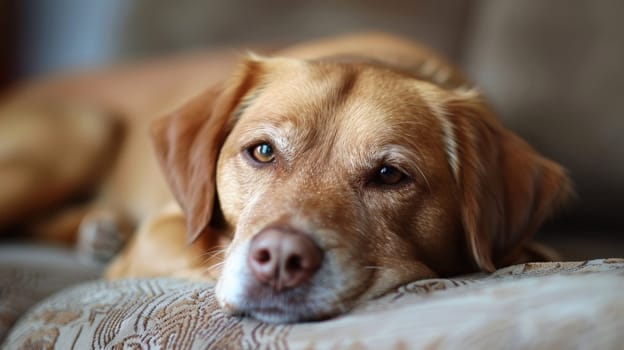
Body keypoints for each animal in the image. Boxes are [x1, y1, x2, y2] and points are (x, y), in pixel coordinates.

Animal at [0, 32, 572, 322]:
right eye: (262, 152)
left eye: (389, 175)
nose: (278, 259)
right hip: (84, 131)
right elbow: (206, 249)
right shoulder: (163, 231)